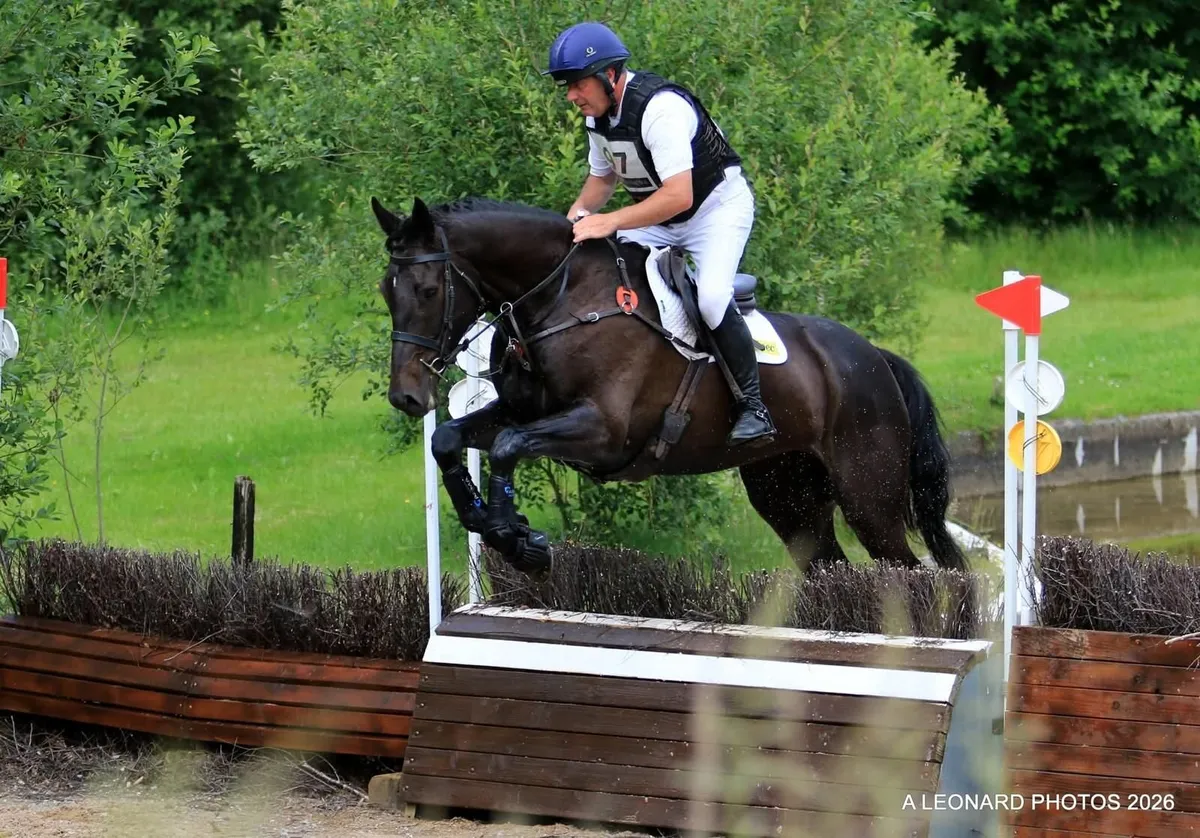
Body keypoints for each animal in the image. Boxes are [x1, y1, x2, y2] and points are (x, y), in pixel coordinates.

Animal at [372, 194, 968, 578]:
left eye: (428, 290)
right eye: (386, 289)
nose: (407, 396)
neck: (559, 299)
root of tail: (874, 358)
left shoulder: (603, 431)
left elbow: (506, 446)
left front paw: (520, 540)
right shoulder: (522, 411)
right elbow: (450, 437)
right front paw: (492, 521)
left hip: (869, 496)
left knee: (909, 570)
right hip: (786, 492)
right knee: (830, 564)